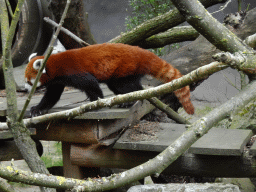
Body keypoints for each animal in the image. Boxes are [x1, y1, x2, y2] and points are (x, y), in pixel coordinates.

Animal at [25, 43, 194, 116]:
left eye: (28, 81)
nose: (25, 90)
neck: (54, 65)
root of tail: (142, 52)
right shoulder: (57, 82)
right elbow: (51, 96)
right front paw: (38, 109)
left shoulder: (73, 72)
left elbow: (91, 84)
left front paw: (96, 102)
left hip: (125, 70)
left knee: (130, 88)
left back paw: (130, 100)